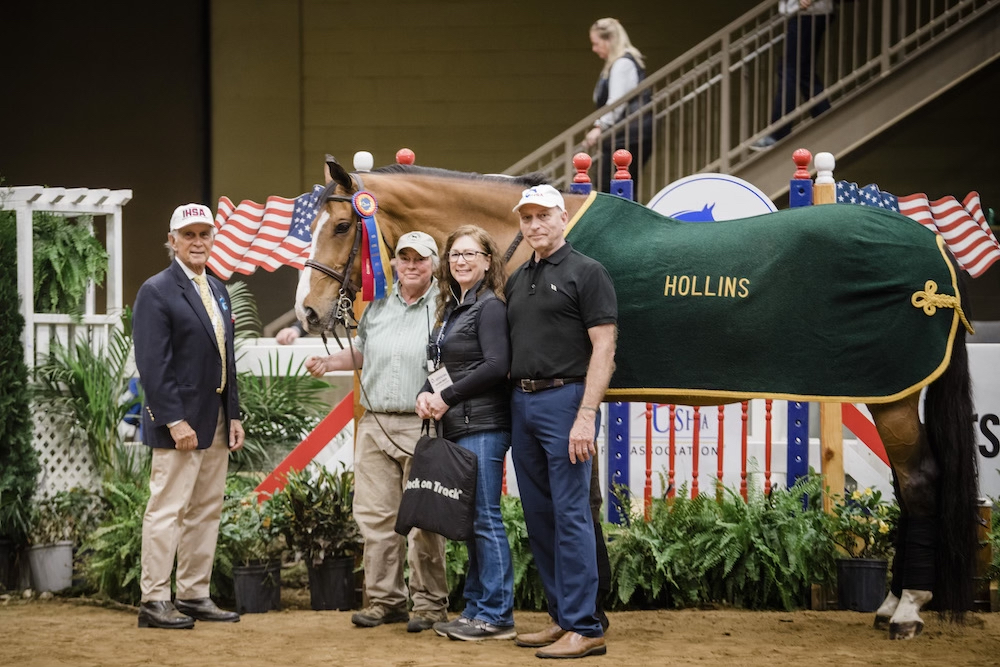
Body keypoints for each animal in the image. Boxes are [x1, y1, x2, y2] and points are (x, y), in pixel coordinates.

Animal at [294, 158, 976, 640]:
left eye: (340, 224)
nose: (308, 313)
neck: (530, 245)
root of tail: (938, 254)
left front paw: (586, 608)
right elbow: (592, 501)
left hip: (892, 396)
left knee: (919, 482)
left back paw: (908, 609)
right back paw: (891, 605)